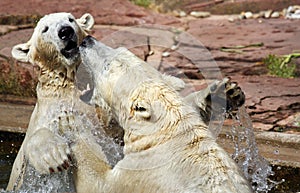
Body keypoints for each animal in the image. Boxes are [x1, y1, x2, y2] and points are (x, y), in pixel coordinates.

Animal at [77, 35, 253, 192]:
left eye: (106, 66)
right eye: (119, 48)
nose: (87, 40)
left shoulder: (139, 173)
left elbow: (97, 183)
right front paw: (225, 93)